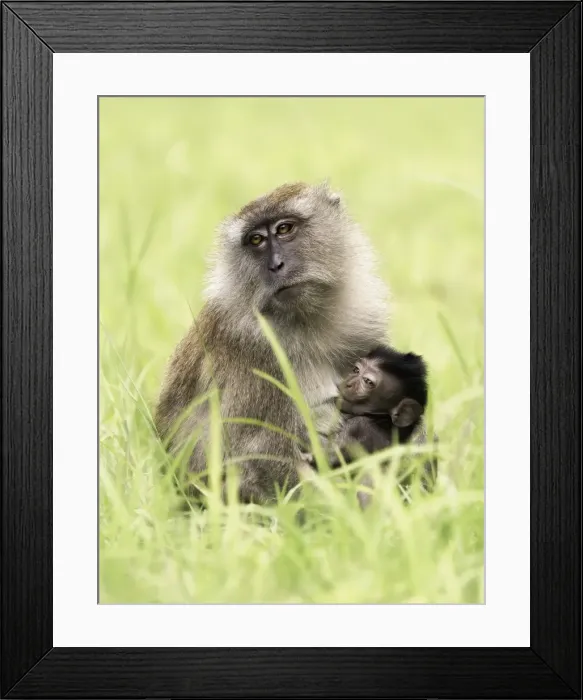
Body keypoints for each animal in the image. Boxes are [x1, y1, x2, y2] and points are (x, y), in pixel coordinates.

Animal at [155, 181, 389, 505]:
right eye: (256, 240)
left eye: (284, 229)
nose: (276, 265)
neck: (303, 322)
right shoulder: (258, 352)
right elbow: (260, 449)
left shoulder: (362, 323)